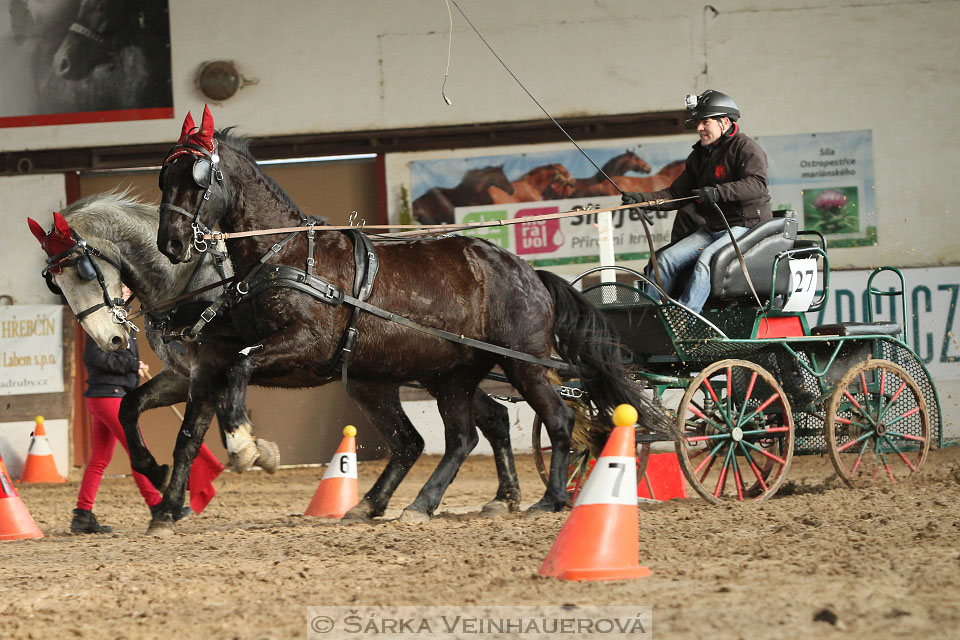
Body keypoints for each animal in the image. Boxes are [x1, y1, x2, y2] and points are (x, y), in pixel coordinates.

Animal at [154, 110, 668, 528]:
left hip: (520, 363)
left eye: (198, 177)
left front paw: (246, 446)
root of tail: (527, 271)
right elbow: (193, 426)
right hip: (435, 377)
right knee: (442, 439)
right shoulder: (220, 355)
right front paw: (168, 507)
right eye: (164, 175)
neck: (284, 255)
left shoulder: (304, 344)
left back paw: (550, 498)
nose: (172, 243)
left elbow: (241, 367)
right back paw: (408, 503)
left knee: (554, 419)